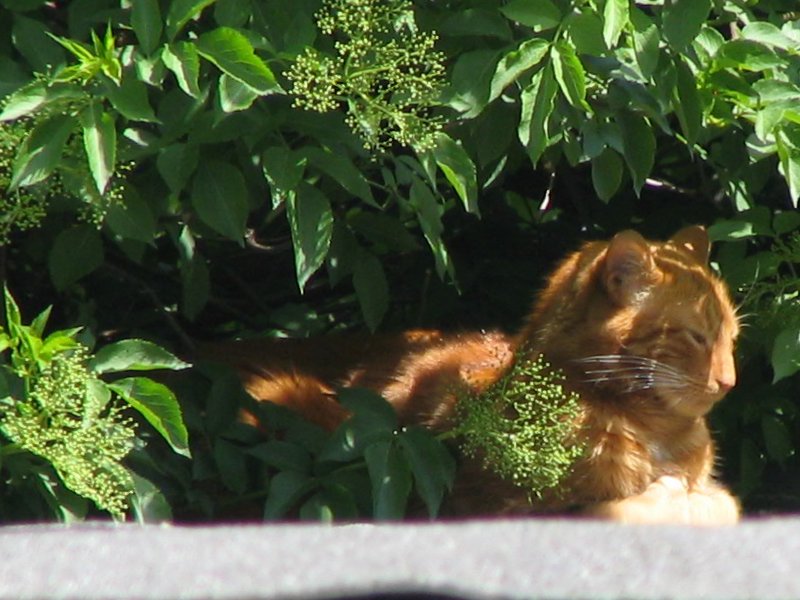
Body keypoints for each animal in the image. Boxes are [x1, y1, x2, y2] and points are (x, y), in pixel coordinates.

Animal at [211, 225, 736, 524]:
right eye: (697, 336)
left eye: (731, 336)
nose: (729, 381)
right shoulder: (492, 508)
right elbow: (628, 508)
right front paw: (669, 496)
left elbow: (721, 503)